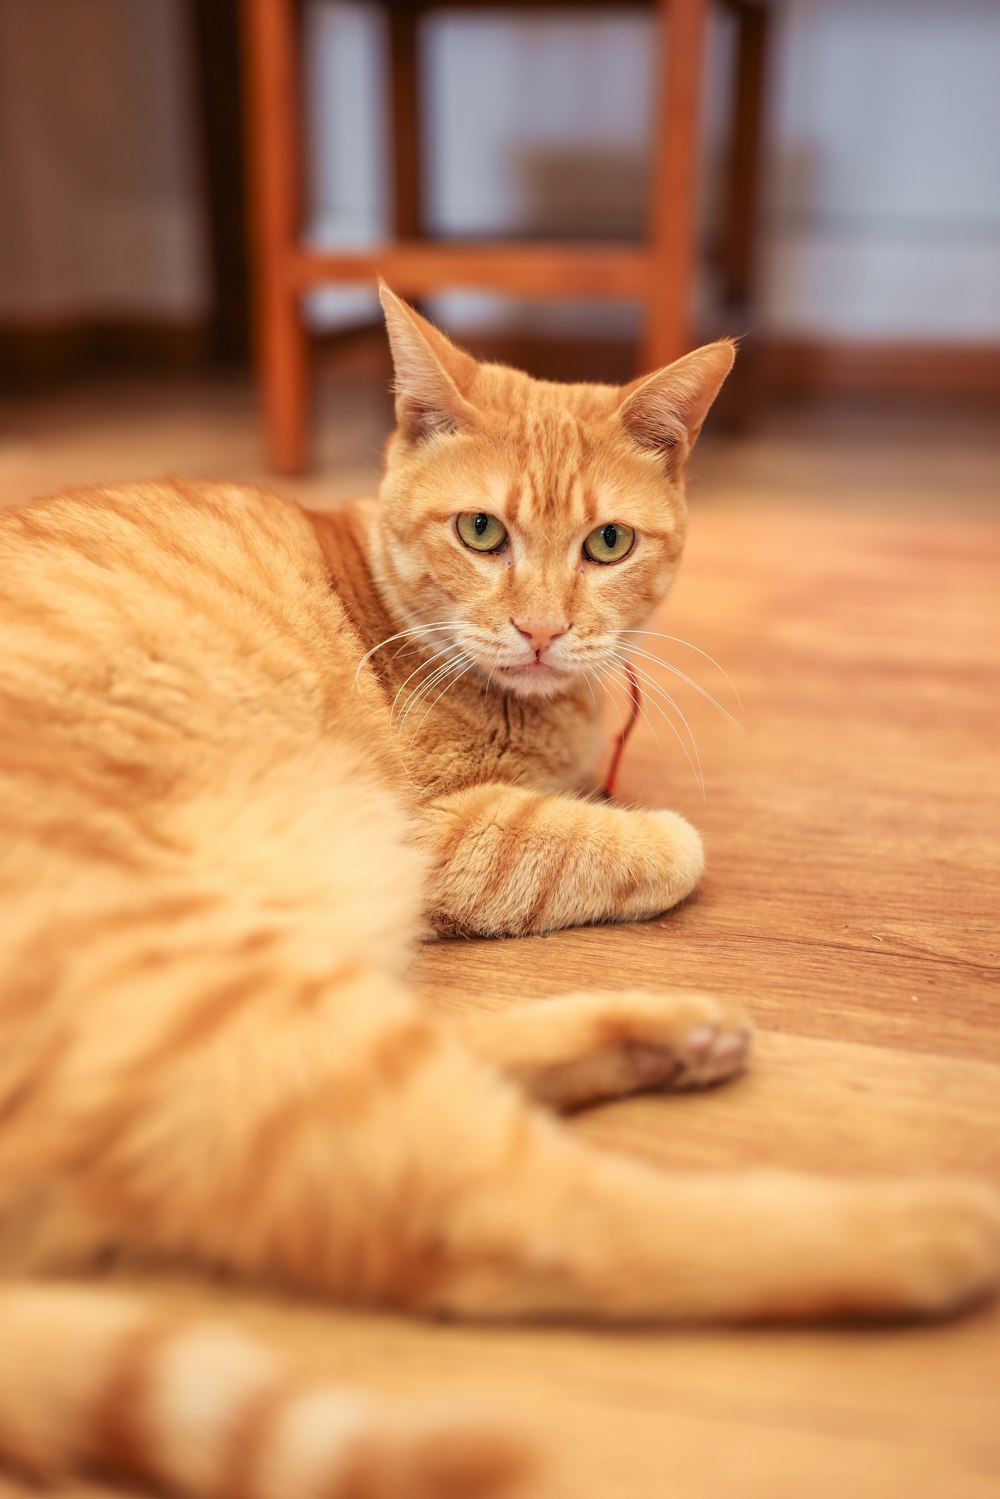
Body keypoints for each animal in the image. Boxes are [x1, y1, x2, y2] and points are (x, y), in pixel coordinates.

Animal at [0, 283, 995, 1499]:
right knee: (523, 1218)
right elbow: (652, 844)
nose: (543, 628)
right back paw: (928, 1227)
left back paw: (671, 1034)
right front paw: (641, 828)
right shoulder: (435, 826)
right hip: (195, 969)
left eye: (607, 544)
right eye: (483, 533)